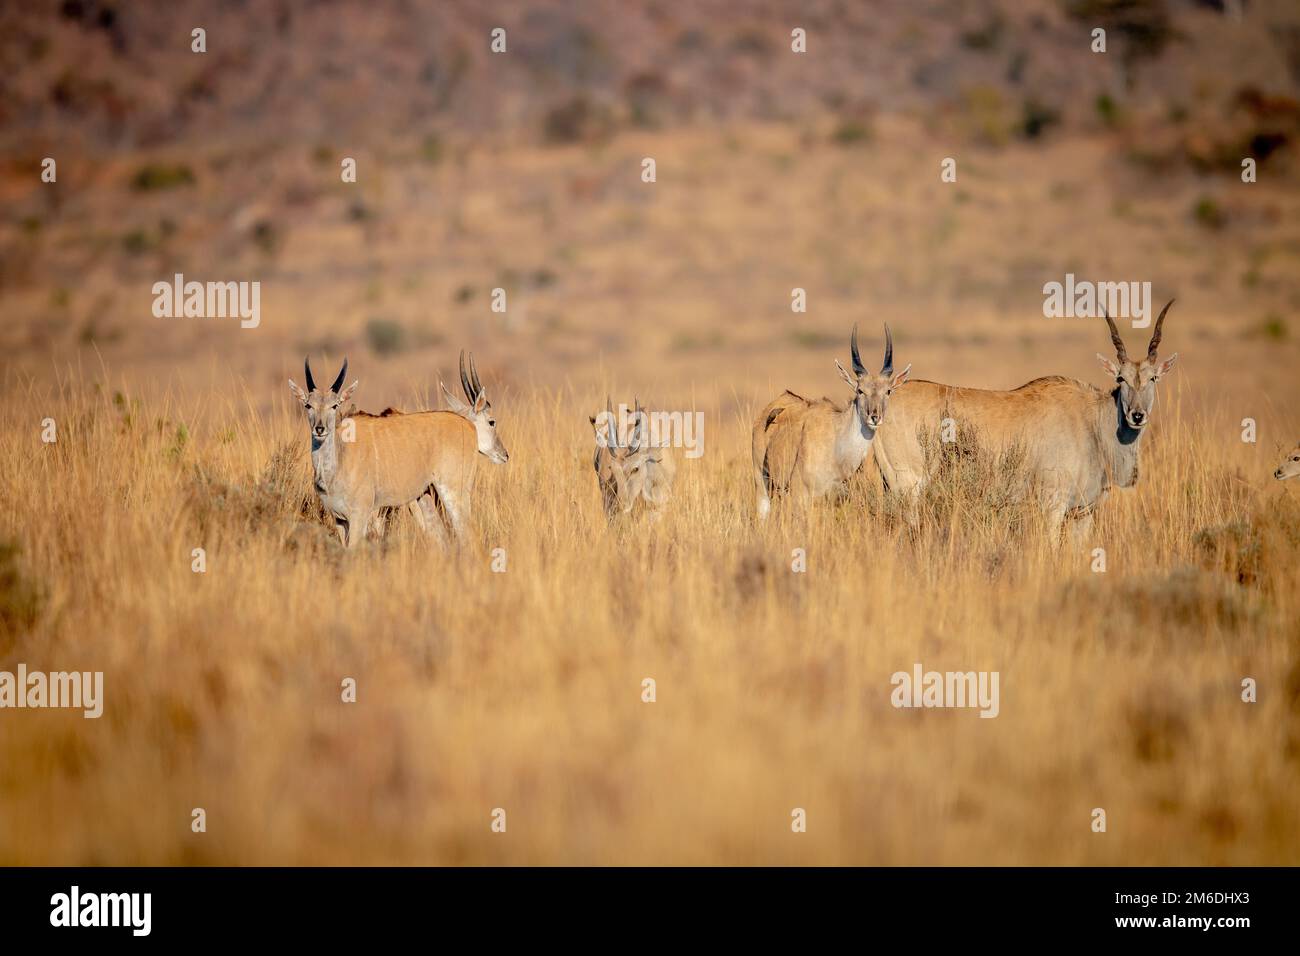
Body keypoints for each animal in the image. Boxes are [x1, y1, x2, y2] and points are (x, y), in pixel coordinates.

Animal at [289, 353, 506, 548]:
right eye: (308, 405)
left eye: (335, 405)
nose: (504, 454)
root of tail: (465, 425)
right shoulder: (341, 520)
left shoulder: (361, 515)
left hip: (452, 493)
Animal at [754, 325, 915, 520]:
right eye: (860, 390)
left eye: (888, 391)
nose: (875, 417)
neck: (836, 450)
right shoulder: (800, 497)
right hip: (762, 482)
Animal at [873, 300, 1180, 538]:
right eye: (1121, 378)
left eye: (1153, 378)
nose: (1136, 415)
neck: (1092, 422)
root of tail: (879, 405)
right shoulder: (1053, 507)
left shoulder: (1082, 514)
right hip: (909, 488)